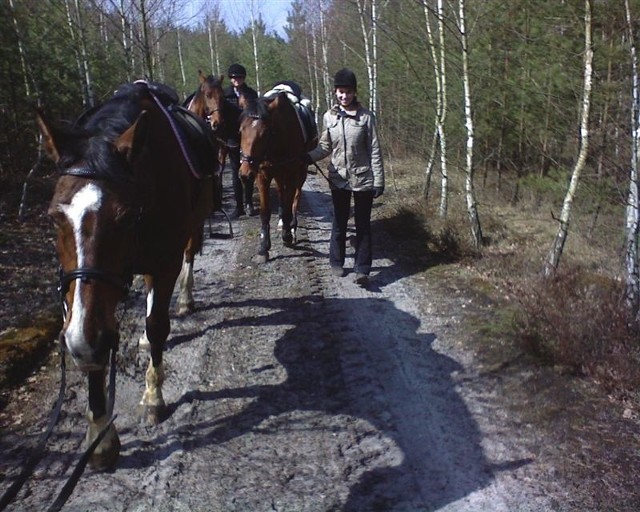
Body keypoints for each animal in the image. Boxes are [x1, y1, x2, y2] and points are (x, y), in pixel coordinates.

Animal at [38, 79, 218, 468]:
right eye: (54, 217)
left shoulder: (164, 263)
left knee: (187, 260)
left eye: (123, 217)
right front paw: (100, 436)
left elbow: (156, 323)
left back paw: (184, 300)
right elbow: (96, 344)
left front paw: (153, 397)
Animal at [238, 89, 318, 262]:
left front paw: (287, 235)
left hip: (300, 172)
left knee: (296, 197)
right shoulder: (262, 176)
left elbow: (289, 204)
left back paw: (292, 226)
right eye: (241, 130)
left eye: (264, 132)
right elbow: (265, 212)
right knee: (282, 193)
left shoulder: (292, 174)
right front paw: (263, 247)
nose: (245, 173)